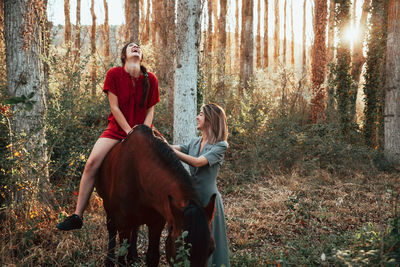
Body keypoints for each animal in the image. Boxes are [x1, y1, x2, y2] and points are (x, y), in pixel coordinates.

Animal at [94, 125, 216, 267]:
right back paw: (110, 259)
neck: (138, 172)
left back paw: (133, 256)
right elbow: (121, 258)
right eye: (179, 248)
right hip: (108, 206)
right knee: (112, 229)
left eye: (211, 249)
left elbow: (152, 257)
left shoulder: (157, 224)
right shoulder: (123, 223)